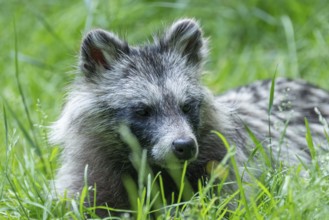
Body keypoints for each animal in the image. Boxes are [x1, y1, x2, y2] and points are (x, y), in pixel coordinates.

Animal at [52, 18, 328, 213]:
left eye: (186, 106)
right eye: (143, 111)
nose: (184, 145)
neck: (153, 167)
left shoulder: (225, 167)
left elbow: (229, 203)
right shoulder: (91, 174)